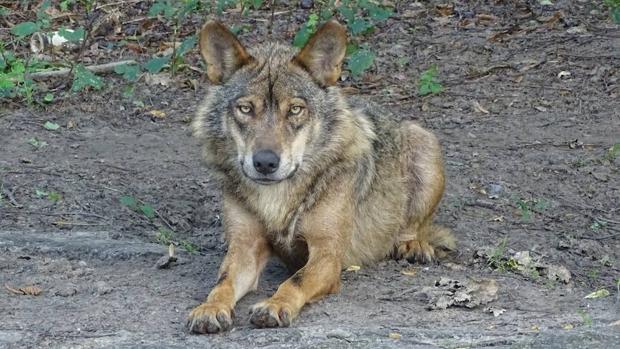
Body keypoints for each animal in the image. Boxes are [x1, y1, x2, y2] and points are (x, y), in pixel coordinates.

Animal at [186, 18, 452, 332]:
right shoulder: (244, 248)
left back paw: (412, 245)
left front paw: (275, 305)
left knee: (414, 226)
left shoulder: (327, 255)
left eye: (295, 110)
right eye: (245, 108)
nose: (265, 162)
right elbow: (222, 283)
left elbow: (295, 281)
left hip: (425, 146)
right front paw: (210, 308)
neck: (277, 198)